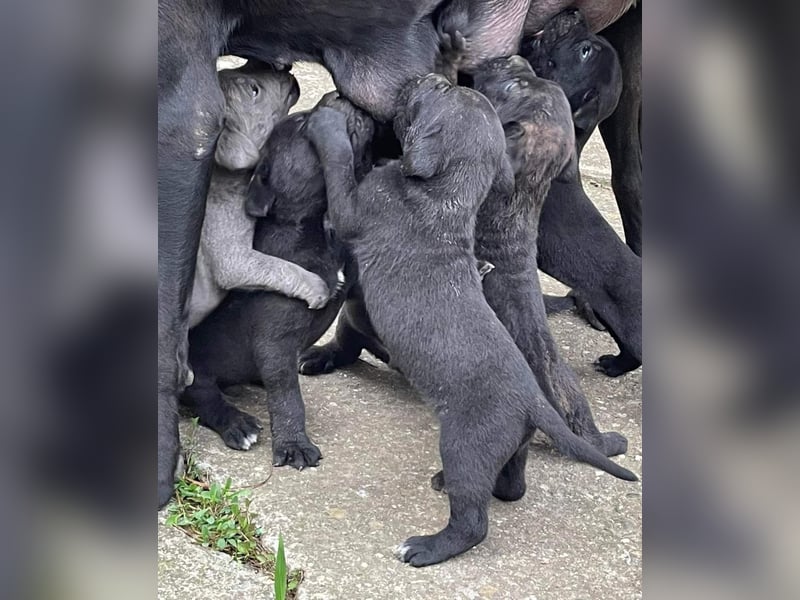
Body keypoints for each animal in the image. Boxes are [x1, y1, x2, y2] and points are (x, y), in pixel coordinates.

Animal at [181, 96, 376, 466]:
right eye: (301, 124)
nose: (336, 97)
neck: (313, 227)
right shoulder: (276, 343)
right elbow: (287, 398)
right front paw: (293, 444)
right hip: (193, 370)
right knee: (203, 397)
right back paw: (237, 424)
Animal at [306, 74, 636, 568]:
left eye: (439, 95)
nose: (431, 76)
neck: (448, 194)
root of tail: (533, 401)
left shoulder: (357, 207)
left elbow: (340, 166)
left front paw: (326, 123)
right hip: (512, 444)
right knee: (512, 485)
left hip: (465, 443)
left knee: (473, 522)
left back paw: (426, 546)